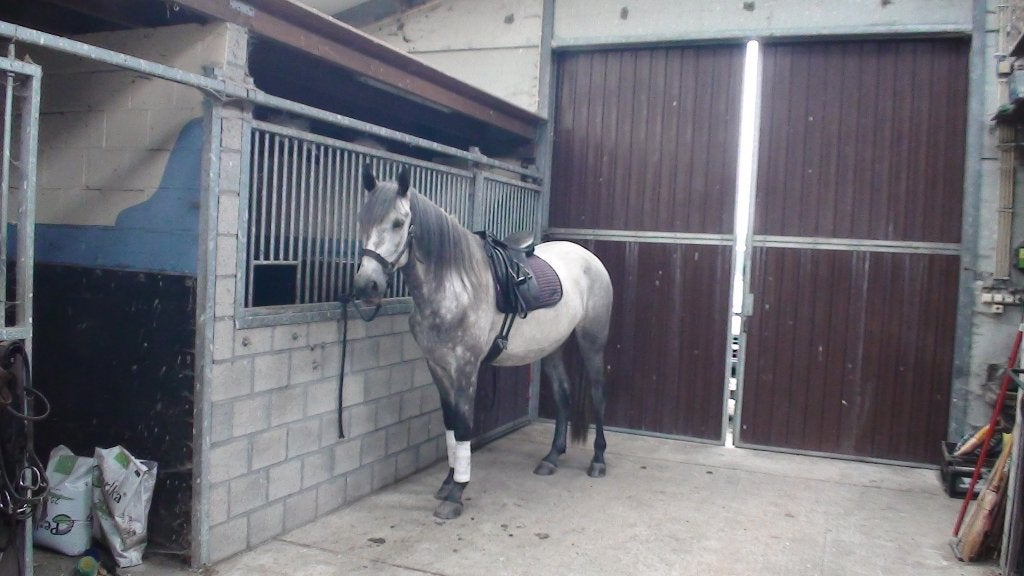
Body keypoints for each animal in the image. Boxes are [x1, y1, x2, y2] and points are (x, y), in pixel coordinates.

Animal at [352, 164, 613, 520]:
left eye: (398, 222)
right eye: (362, 220)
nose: (367, 286)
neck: (453, 285)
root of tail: (588, 257)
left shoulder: (465, 367)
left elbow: (463, 426)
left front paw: (456, 494)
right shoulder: (437, 366)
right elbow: (450, 424)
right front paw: (448, 483)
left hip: (592, 341)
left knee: (598, 395)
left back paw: (598, 461)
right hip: (552, 347)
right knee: (563, 395)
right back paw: (551, 458)